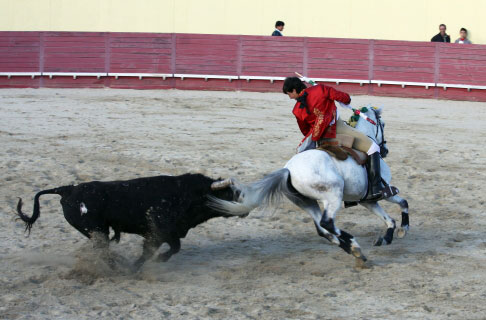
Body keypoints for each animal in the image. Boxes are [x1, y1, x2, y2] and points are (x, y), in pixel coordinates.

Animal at [16, 172, 245, 268]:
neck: (188, 195)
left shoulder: (167, 233)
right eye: (228, 193)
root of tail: (67, 189)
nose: (245, 209)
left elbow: (169, 248)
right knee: (103, 251)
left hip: (97, 231)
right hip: (96, 230)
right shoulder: (160, 231)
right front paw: (146, 264)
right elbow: (162, 249)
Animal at [212, 106, 410, 262]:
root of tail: (288, 170)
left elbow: (390, 218)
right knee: (327, 223)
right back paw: (352, 243)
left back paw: (354, 250)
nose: (385, 150)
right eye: (383, 124)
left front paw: (387, 237)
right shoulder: (384, 192)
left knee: (322, 229)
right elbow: (403, 202)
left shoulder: (367, 201)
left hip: (306, 201)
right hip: (333, 195)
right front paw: (403, 230)